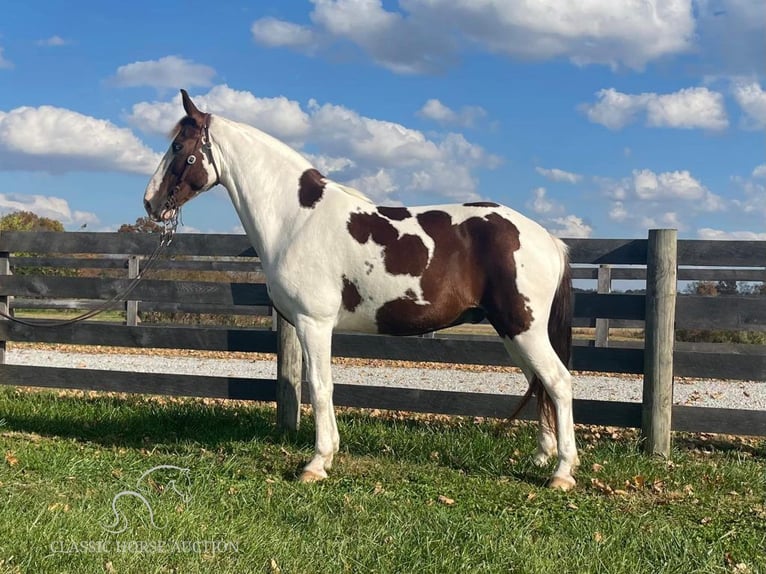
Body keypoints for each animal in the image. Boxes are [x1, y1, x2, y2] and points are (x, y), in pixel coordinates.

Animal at [142, 90, 584, 490]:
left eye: (178, 146)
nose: (150, 203)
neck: (296, 219)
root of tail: (546, 238)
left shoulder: (314, 323)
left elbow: (320, 386)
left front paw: (317, 463)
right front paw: (327, 455)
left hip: (522, 329)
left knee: (559, 382)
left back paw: (562, 473)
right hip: (512, 332)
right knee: (540, 384)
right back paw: (542, 457)